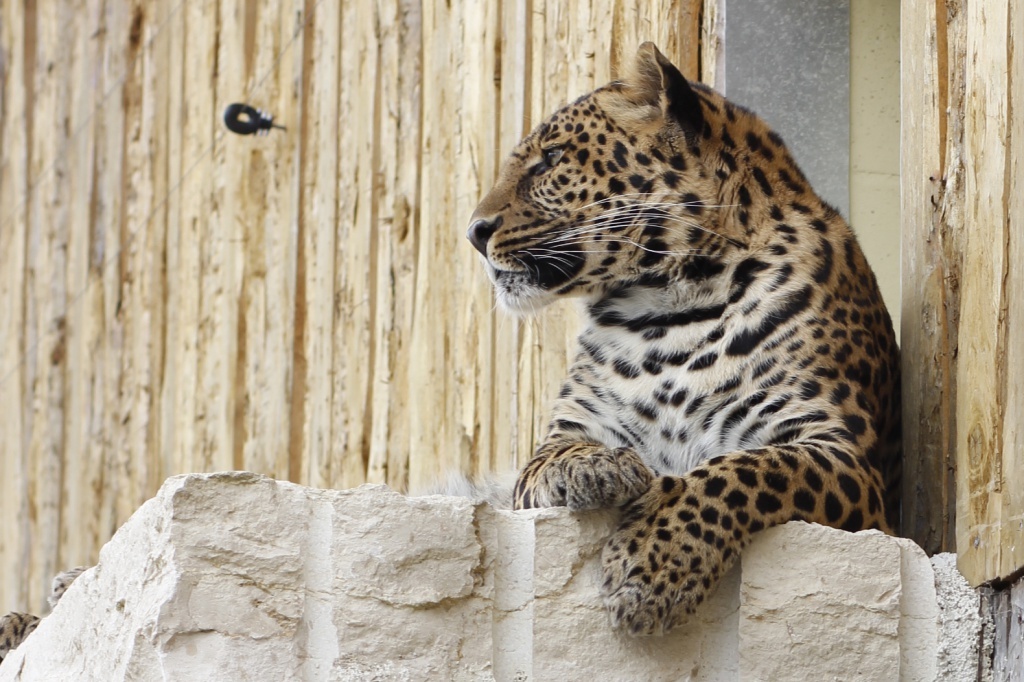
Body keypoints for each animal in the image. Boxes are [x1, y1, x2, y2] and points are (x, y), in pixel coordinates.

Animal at [468, 43, 901, 638]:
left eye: (551, 158)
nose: (474, 231)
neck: (665, 313)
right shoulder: (562, 436)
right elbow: (555, 457)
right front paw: (602, 468)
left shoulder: (841, 454)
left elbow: (745, 469)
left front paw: (654, 563)